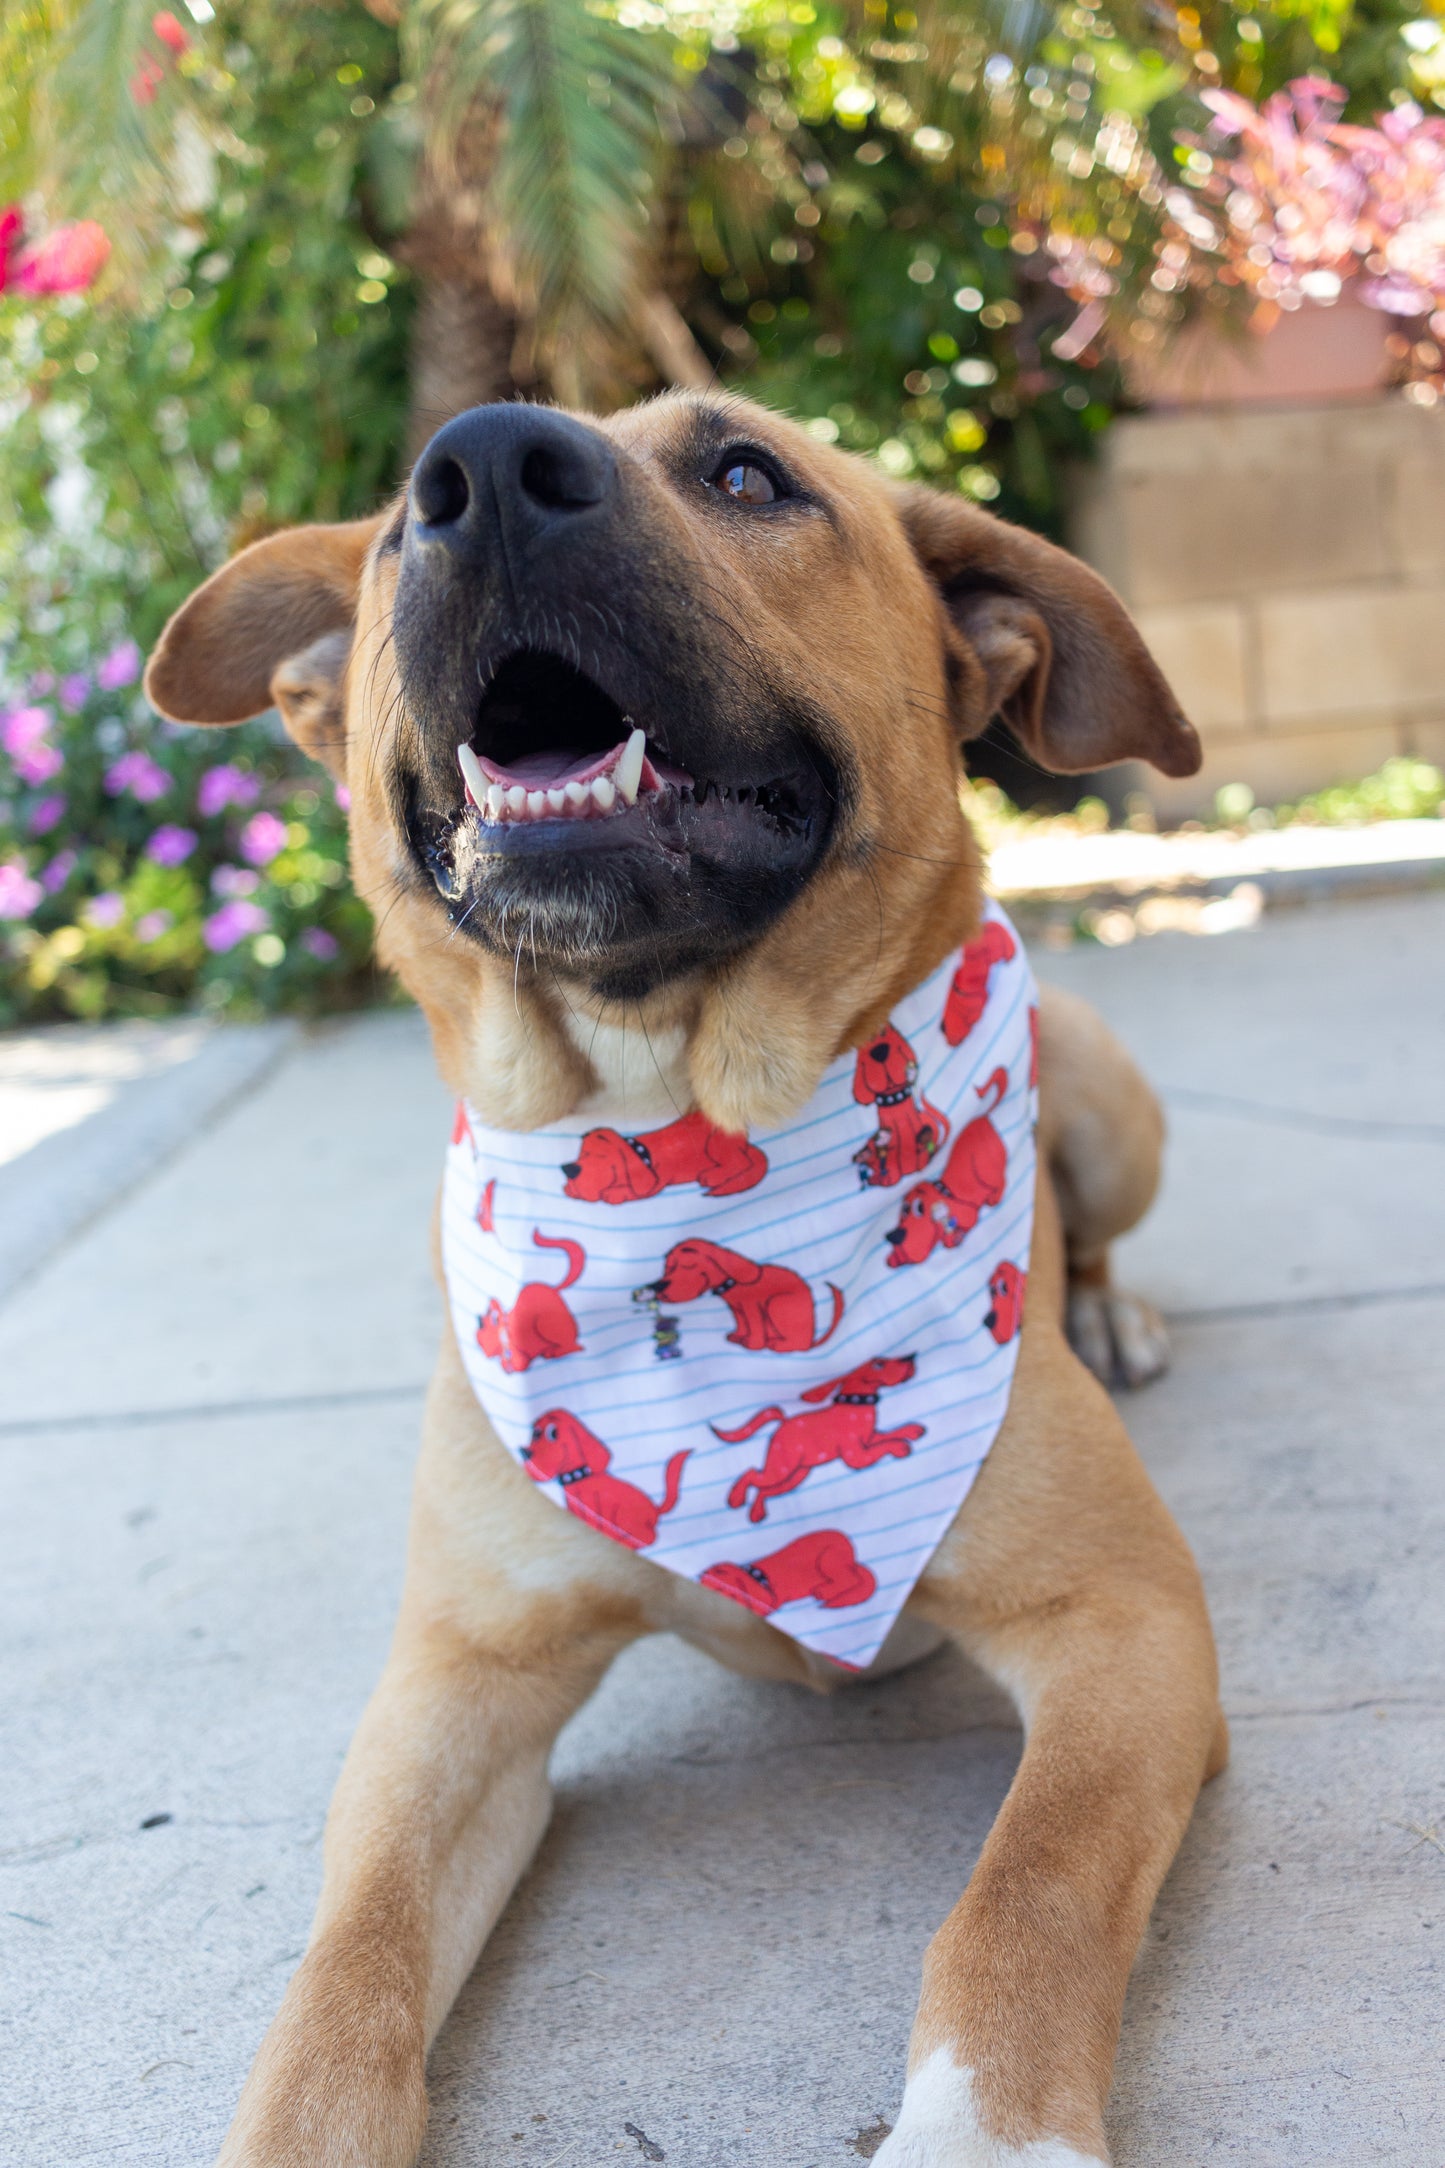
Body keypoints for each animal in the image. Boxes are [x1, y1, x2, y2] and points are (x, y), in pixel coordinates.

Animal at [147, 394, 1230, 2168]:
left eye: (745, 476)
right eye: (385, 543)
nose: (481, 470)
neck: (675, 1117)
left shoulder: (1123, 1629)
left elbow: (1025, 1898)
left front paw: (982, 2134)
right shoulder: (452, 1694)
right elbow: (339, 1978)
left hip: (1107, 1099)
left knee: (1112, 1223)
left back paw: (1108, 1306)